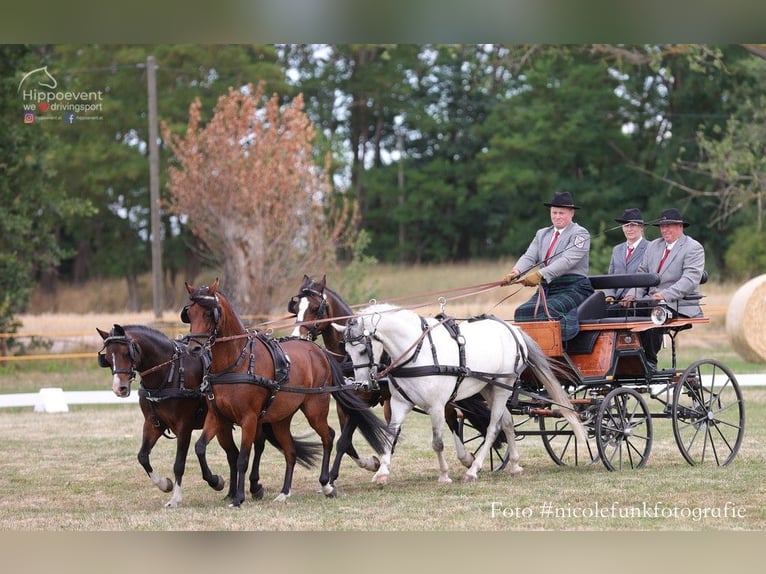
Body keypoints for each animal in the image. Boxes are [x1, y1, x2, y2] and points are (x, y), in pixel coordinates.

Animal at [98, 324, 320, 508]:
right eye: (107, 358)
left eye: (127, 352)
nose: (120, 388)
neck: (170, 371)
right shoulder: (153, 425)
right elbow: (143, 456)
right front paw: (165, 484)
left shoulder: (184, 427)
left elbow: (179, 464)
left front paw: (180, 496)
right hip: (223, 426)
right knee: (233, 454)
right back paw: (232, 493)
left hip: (251, 420)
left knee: (257, 446)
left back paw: (254, 486)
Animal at [184, 280, 392, 508]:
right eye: (190, 313)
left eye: (208, 314)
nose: (193, 349)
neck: (236, 363)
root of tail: (318, 351)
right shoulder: (217, 416)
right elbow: (200, 447)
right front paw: (216, 481)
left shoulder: (249, 419)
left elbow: (242, 459)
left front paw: (238, 498)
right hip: (280, 419)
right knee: (291, 450)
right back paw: (285, 492)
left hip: (315, 409)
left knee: (328, 436)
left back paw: (326, 484)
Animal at [336, 306, 588, 486]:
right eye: (346, 350)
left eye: (362, 349)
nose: (362, 384)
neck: (417, 353)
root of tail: (513, 330)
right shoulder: (399, 403)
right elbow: (390, 436)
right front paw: (381, 472)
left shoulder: (437, 406)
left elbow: (437, 442)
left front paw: (444, 475)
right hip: (488, 387)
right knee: (507, 422)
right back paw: (515, 465)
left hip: (502, 387)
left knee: (493, 427)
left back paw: (473, 471)